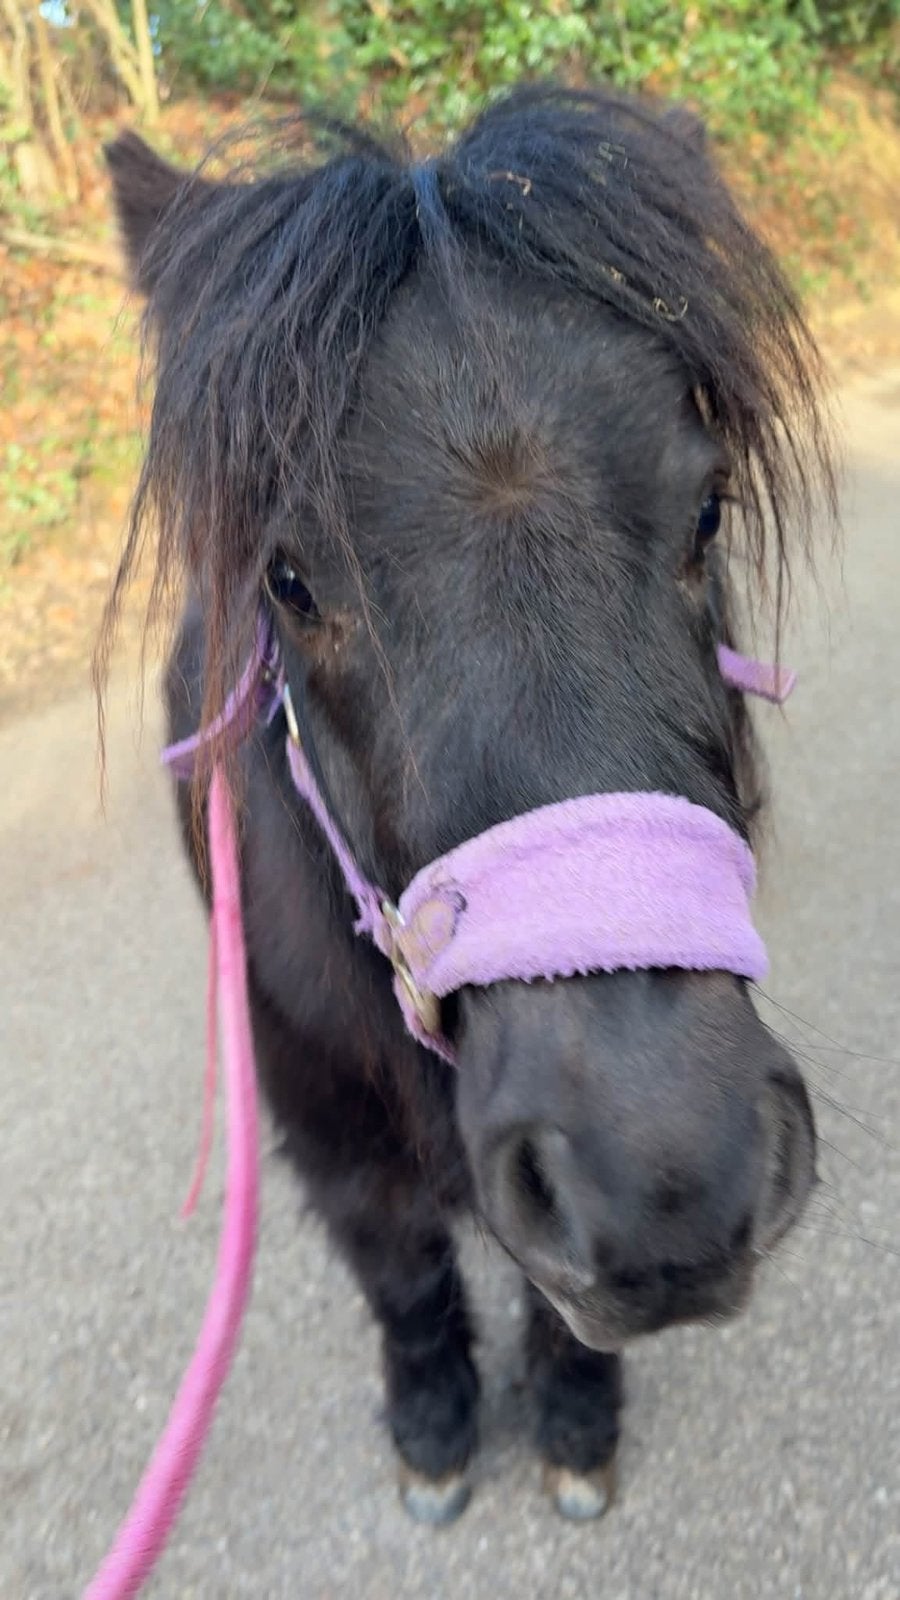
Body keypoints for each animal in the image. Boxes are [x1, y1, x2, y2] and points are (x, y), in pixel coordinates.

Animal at [101, 83, 835, 1526]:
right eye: (289, 578)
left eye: (707, 510)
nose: (665, 1182)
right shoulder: (326, 1131)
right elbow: (401, 1271)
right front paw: (435, 1429)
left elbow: (558, 1308)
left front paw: (576, 1421)